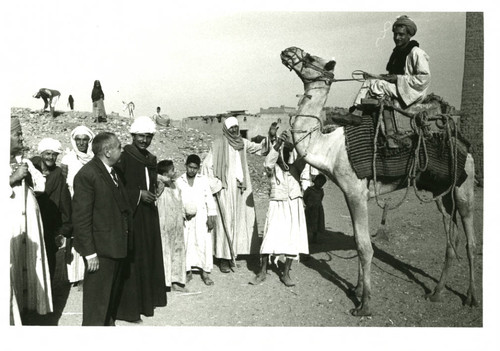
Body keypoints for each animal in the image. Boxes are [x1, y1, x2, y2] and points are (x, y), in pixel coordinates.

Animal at [280, 45, 478, 318]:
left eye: (309, 57)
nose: (288, 51)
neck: (330, 147)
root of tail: (465, 145)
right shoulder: (351, 193)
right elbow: (357, 241)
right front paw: (356, 289)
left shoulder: (354, 191)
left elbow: (365, 246)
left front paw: (364, 304)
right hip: (442, 192)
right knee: (451, 238)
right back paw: (436, 293)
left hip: (463, 185)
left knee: (470, 240)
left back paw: (470, 297)